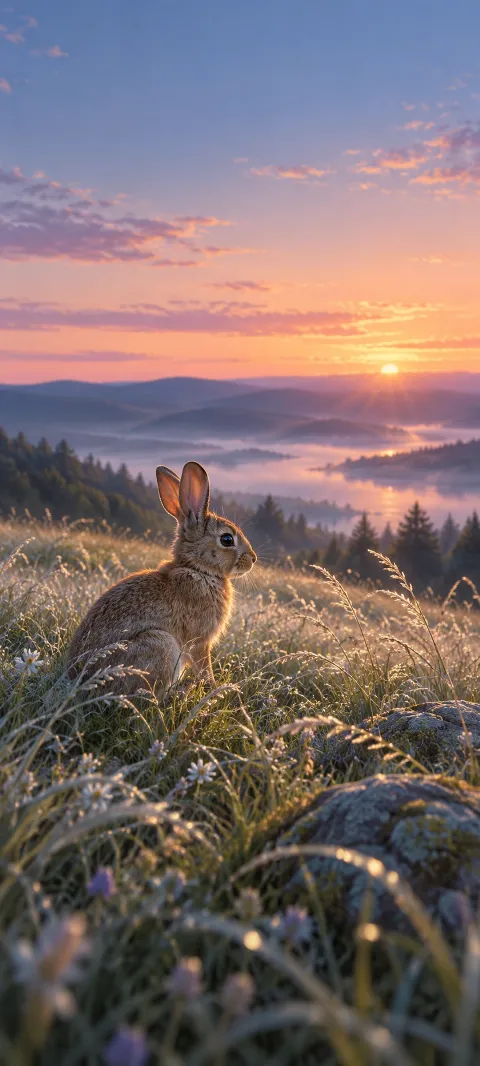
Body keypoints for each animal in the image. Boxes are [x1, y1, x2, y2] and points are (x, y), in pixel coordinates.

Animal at [67, 461, 256, 696]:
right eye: (227, 539)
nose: (253, 559)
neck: (199, 569)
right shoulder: (199, 642)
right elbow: (204, 667)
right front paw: (215, 688)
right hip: (161, 643)